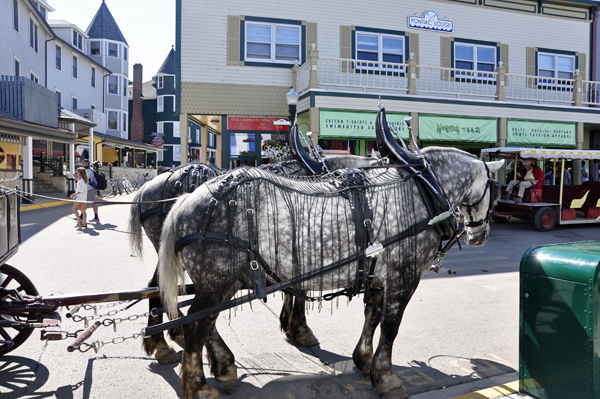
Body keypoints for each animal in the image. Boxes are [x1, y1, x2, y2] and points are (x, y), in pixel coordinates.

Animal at [158, 145, 502, 398]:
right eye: (494, 189)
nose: (479, 235)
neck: (424, 190)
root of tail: (186, 199)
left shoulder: (379, 276)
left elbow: (372, 317)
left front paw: (365, 360)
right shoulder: (403, 276)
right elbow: (390, 327)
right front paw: (387, 377)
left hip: (222, 281)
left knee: (206, 324)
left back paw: (222, 368)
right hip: (216, 280)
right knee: (196, 327)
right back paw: (199, 386)